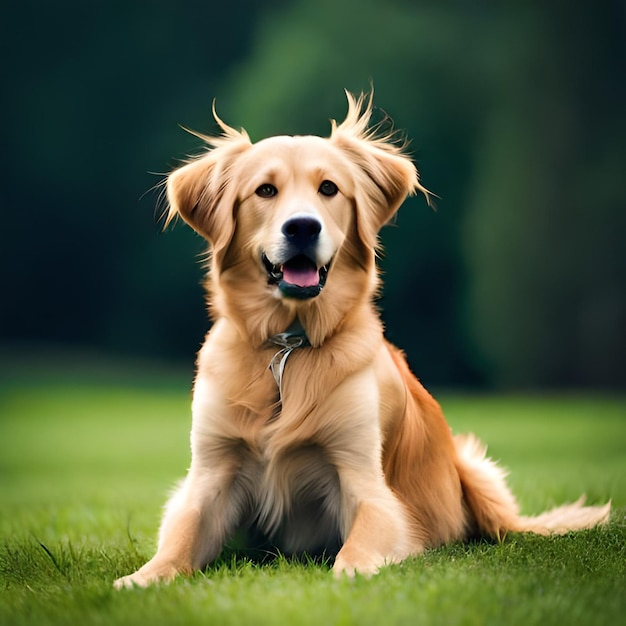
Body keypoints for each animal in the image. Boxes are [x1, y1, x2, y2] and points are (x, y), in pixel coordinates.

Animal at [114, 91, 608, 584]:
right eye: (265, 190)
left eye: (329, 189)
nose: (302, 226)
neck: (289, 348)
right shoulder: (211, 471)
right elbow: (181, 534)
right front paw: (140, 579)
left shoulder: (364, 478)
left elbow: (355, 550)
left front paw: (348, 575)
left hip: (475, 469)